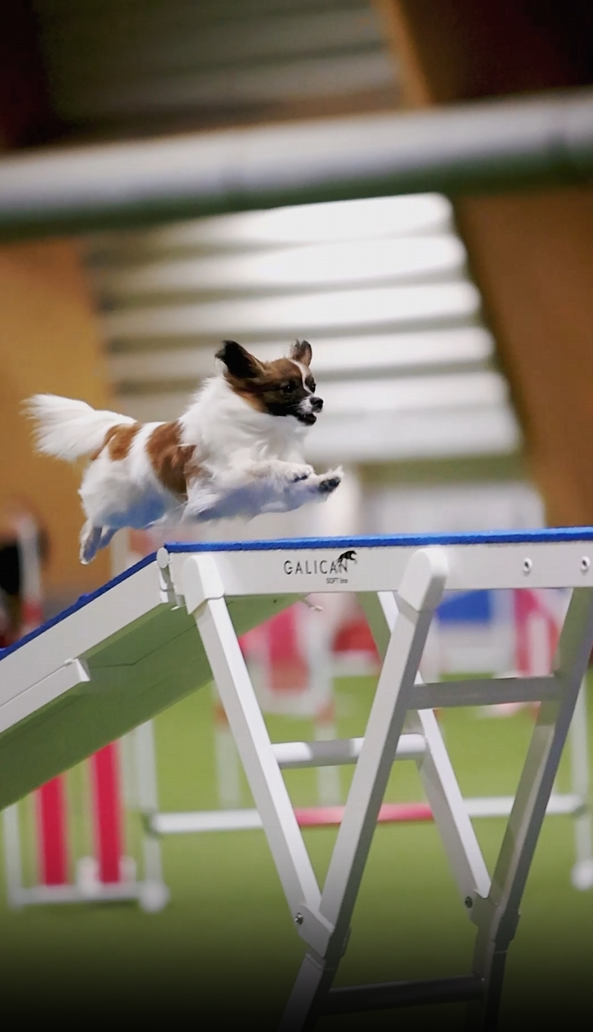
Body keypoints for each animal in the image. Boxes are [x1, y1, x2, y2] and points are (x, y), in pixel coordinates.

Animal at [26, 340, 343, 564]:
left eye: (312, 385)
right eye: (288, 388)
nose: (318, 401)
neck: (265, 427)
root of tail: (123, 430)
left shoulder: (254, 492)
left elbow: (289, 487)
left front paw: (323, 481)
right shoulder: (225, 475)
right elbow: (264, 465)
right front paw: (295, 470)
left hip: (141, 509)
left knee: (111, 524)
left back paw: (96, 545)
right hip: (121, 500)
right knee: (96, 517)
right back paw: (89, 545)